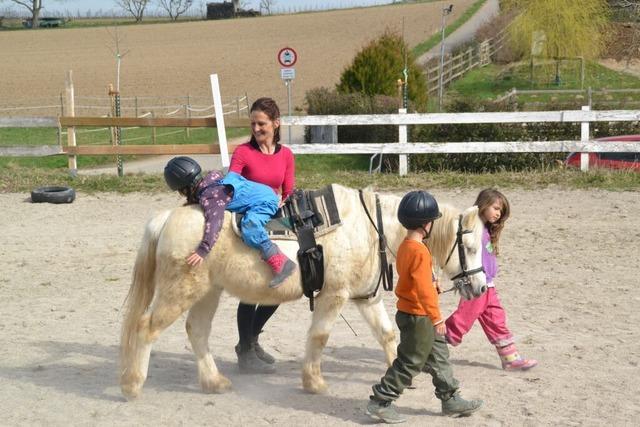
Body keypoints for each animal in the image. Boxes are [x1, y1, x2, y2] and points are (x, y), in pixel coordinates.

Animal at [119, 185, 484, 402]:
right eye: (469, 247)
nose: (480, 287)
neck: (367, 228)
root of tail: (168, 218)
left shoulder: (367, 298)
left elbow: (387, 334)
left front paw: (401, 377)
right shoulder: (333, 296)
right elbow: (320, 337)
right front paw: (314, 383)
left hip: (208, 293)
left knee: (197, 331)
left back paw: (213, 382)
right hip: (180, 291)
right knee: (146, 328)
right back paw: (132, 385)